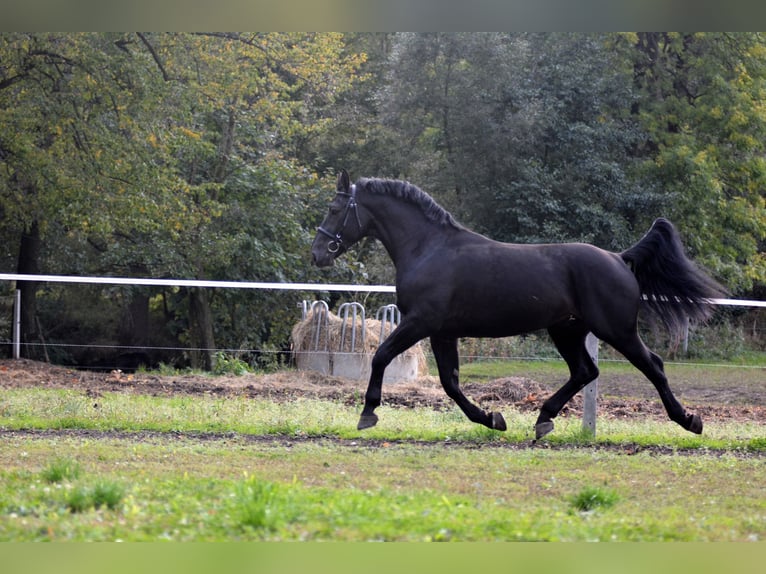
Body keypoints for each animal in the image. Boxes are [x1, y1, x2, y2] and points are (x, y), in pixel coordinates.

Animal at [310, 171, 728, 440]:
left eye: (334, 209)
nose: (318, 253)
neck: (429, 249)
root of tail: (618, 258)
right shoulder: (443, 332)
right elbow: (451, 383)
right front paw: (493, 418)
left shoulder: (420, 323)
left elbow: (381, 355)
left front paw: (368, 413)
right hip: (567, 330)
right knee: (585, 371)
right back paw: (543, 420)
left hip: (616, 329)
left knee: (652, 366)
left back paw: (689, 420)